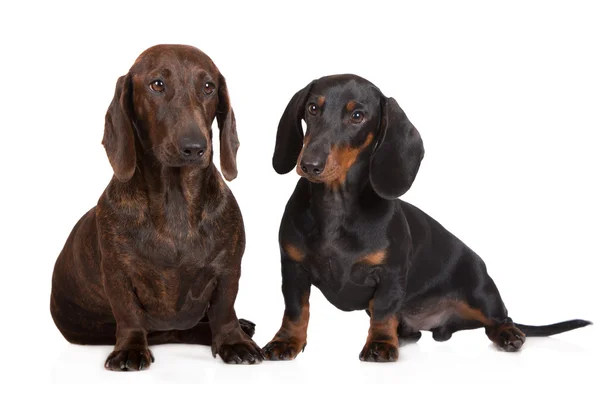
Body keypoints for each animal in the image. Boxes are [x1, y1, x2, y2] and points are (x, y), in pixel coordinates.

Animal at [52, 45, 264, 370]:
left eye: (208, 87)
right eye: (157, 84)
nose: (195, 147)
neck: (176, 201)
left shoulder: (229, 268)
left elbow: (224, 308)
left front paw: (233, 340)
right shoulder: (118, 274)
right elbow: (129, 314)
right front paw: (130, 348)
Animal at [264, 73, 592, 360]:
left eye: (357, 116)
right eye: (312, 108)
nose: (310, 164)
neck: (336, 205)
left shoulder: (390, 274)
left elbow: (383, 310)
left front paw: (380, 344)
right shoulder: (292, 268)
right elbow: (295, 310)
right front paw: (286, 342)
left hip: (481, 290)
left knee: (498, 320)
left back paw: (508, 335)